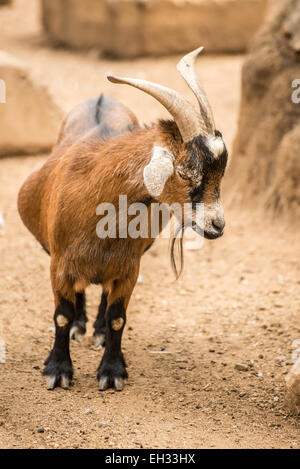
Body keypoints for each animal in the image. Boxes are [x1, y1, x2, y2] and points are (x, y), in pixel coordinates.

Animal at [17, 47, 227, 392]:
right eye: (185, 171)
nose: (217, 225)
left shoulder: (129, 267)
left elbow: (117, 317)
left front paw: (112, 371)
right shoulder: (59, 263)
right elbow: (61, 315)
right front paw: (57, 370)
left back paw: (98, 331)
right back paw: (80, 325)